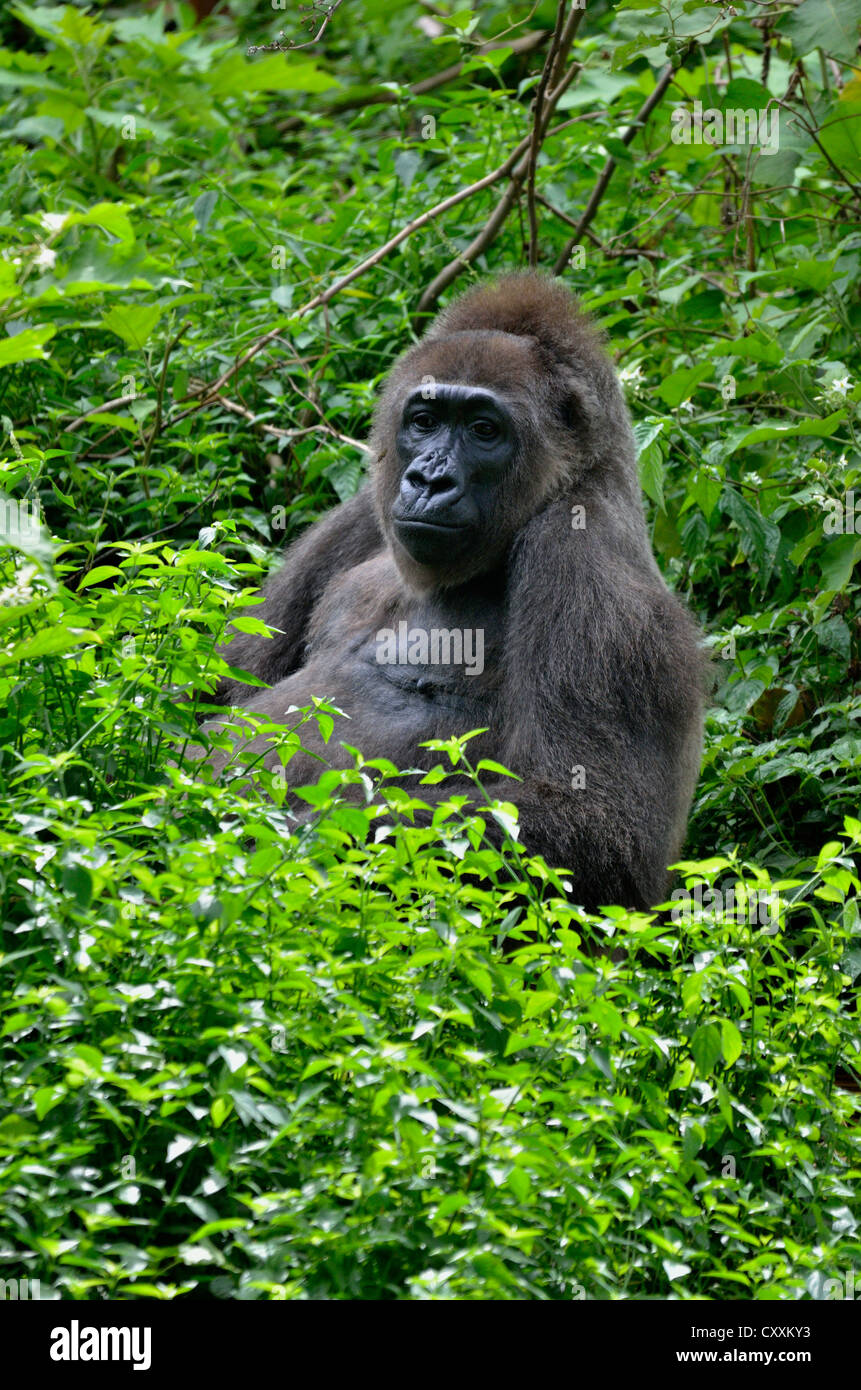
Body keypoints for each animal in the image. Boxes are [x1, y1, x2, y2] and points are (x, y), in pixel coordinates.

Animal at [201, 271, 708, 912]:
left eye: (483, 430)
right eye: (425, 421)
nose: (428, 479)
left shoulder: (583, 553)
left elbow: (596, 827)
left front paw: (283, 831)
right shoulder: (362, 510)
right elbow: (220, 679)